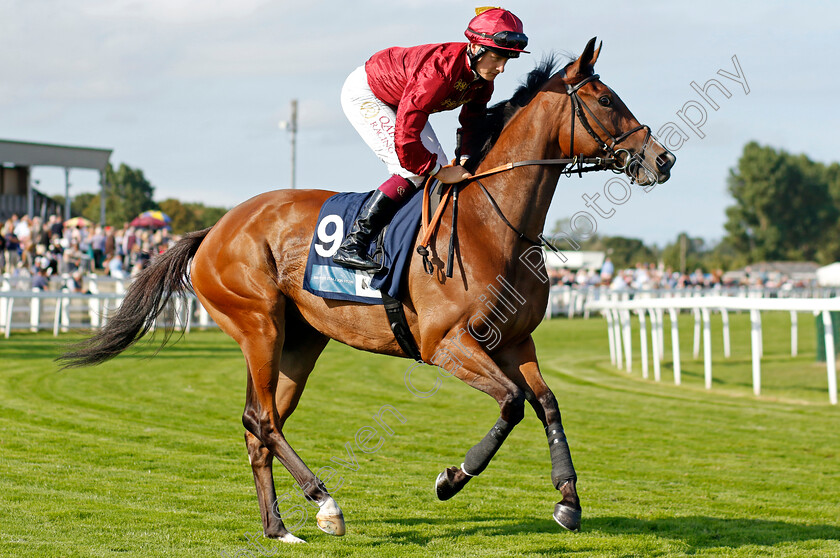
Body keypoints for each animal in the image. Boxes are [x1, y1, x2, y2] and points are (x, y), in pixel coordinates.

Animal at [59, 38, 676, 544]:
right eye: (605, 100)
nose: (663, 159)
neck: (492, 222)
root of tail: (212, 230)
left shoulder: (516, 341)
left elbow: (546, 403)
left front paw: (568, 500)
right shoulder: (447, 346)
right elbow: (511, 404)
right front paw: (452, 478)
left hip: (299, 342)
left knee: (260, 424)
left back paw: (278, 527)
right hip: (259, 325)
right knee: (263, 421)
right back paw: (326, 504)